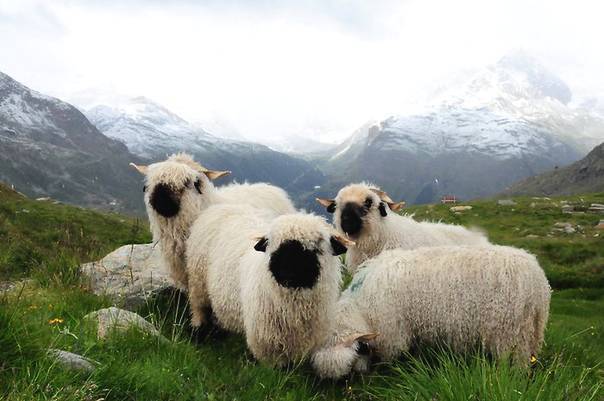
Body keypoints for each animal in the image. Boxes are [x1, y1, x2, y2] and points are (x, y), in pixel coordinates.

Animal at [312, 244, 552, 378]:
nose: (359, 377)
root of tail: (538, 280)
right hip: (529, 331)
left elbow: (391, 355)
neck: (363, 306)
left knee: (517, 361)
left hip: (510, 331)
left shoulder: (393, 331)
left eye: (354, 355)